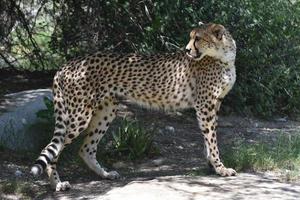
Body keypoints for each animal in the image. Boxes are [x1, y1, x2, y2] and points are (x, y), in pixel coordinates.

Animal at [30, 23, 237, 191]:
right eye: (192, 37)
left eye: (198, 38)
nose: (186, 50)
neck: (224, 56)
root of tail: (66, 64)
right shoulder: (205, 105)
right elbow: (212, 139)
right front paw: (221, 168)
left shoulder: (214, 103)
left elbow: (208, 138)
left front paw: (212, 165)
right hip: (80, 115)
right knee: (52, 147)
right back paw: (57, 184)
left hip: (106, 111)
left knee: (85, 149)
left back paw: (105, 174)